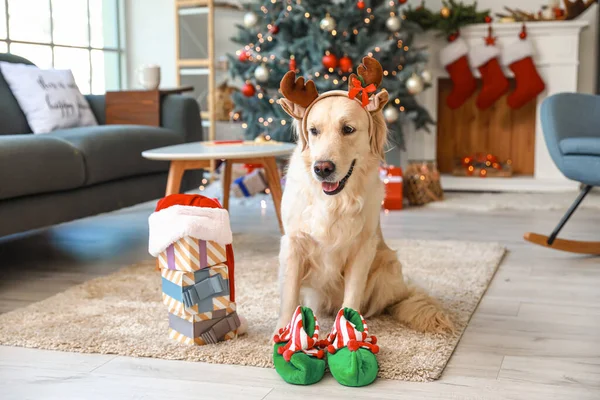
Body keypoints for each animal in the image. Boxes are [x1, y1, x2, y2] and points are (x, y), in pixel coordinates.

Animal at [274, 57, 452, 336]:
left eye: (348, 129)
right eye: (313, 130)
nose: (322, 168)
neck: (335, 200)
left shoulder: (362, 247)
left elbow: (352, 295)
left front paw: (347, 333)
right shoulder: (294, 243)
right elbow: (290, 294)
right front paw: (283, 332)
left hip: (389, 267)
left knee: (393, 302)